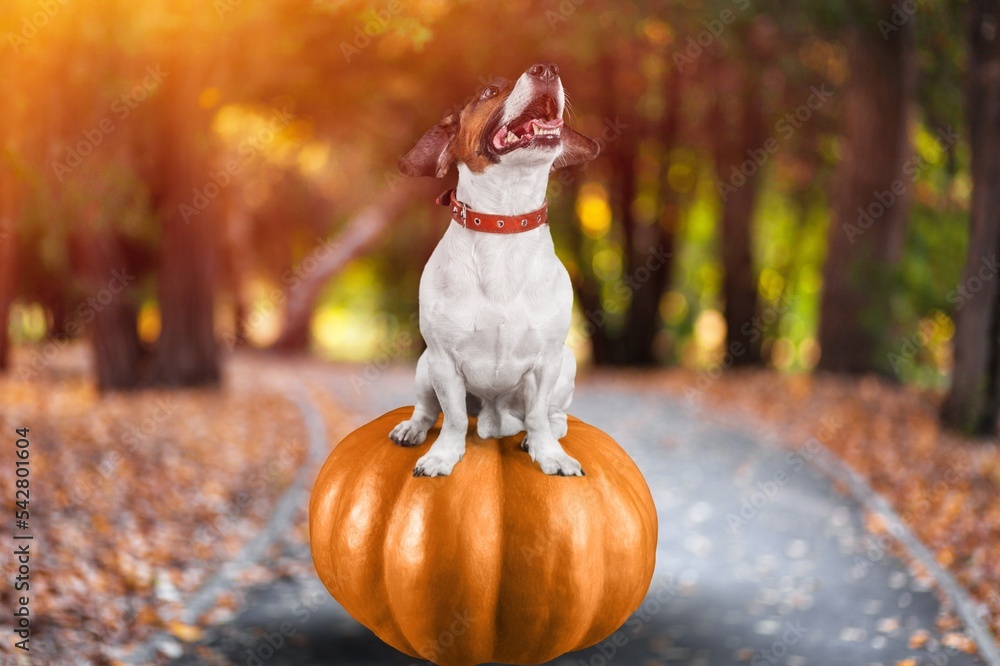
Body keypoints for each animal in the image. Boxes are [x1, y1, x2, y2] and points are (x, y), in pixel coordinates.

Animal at [390, 62, 596, 474]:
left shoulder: (547, 363)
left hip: (566, 365)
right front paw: (443, 455)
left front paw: (549, 453)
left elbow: (538, 415)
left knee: (554, 417)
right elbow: (453, 417)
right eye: (488, 91)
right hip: (424, 367)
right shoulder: (442, 361)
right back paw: (413, 429)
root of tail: (494, 417)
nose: (546, 68)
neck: (505, 220)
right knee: (427, 409)